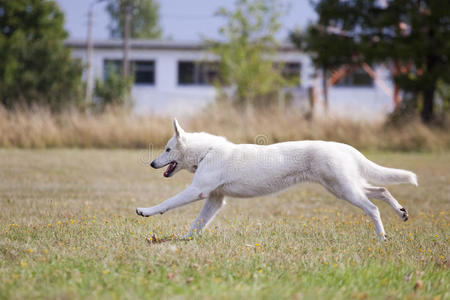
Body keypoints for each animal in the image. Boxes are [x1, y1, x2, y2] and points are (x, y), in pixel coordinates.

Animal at [135, 119, 416, 241]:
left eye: (167, 149)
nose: (151, 164)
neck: (207, 152)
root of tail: (344, 147)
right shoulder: (214, 199)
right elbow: (198, 223)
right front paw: (185, 240)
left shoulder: (197, 191)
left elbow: (167, 203)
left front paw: (145, 211)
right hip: (343, 187)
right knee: (382, 189)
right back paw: (401, 212)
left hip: (344, 189)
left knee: (373, 207)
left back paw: (382, 237)